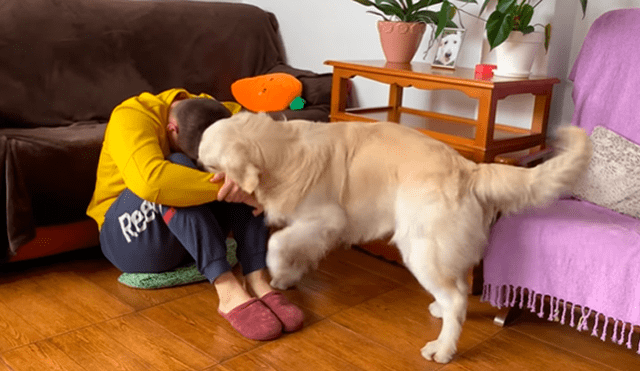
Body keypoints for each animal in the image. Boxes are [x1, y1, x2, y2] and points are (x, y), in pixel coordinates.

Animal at [198, 112, 592, 364]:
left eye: (207, 162)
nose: (192, 163)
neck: (283, 150)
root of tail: (470, 169)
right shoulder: (311, 226)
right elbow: (298, 249)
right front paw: (287, 277)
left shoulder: (327, 219)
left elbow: (277, 244)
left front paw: (277, 272)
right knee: (459, 290)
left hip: (420, 247)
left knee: (456, 298)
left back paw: (443, 349)